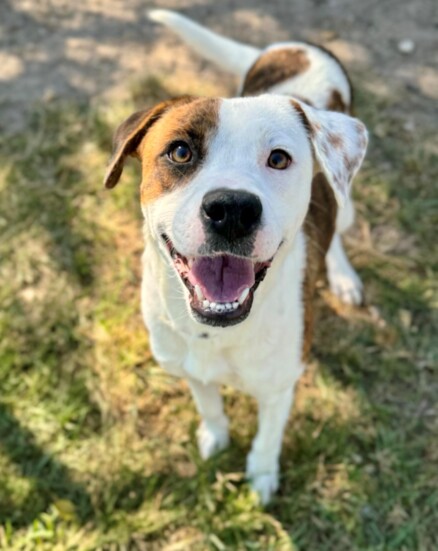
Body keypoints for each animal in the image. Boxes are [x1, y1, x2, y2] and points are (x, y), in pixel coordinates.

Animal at [104, 11, 368, 504]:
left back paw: (342, 275)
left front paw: (261, 475)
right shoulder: (190, 370)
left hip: (346, 195)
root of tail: (296, 45)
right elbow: (209, 405)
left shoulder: (279, 387)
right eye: (180, 151)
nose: (232, 210)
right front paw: (216, 437)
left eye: (279, 158)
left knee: (340, 226)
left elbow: (267, 438)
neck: (216, 332)